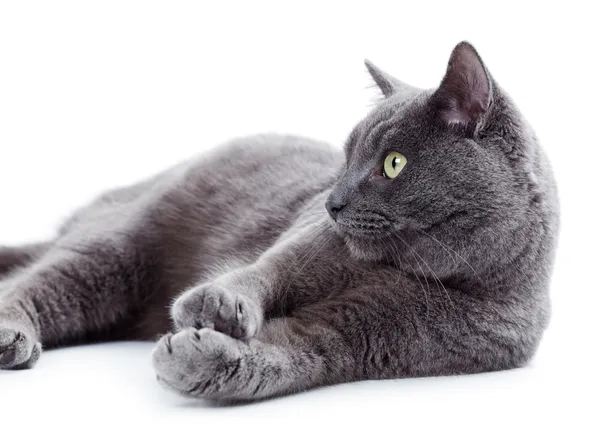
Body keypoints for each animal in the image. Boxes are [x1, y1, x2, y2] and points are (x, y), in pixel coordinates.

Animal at [0, 42, 556, 402]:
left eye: (394, 163)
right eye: (345, 157)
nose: (333, 201)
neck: (411, 273)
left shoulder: (376, 338)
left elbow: (296, 353)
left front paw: (201, 361)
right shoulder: (308, 241)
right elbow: (271, 268)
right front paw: (218, 305)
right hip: (118, 246)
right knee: (35, 283)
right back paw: (12, 338)